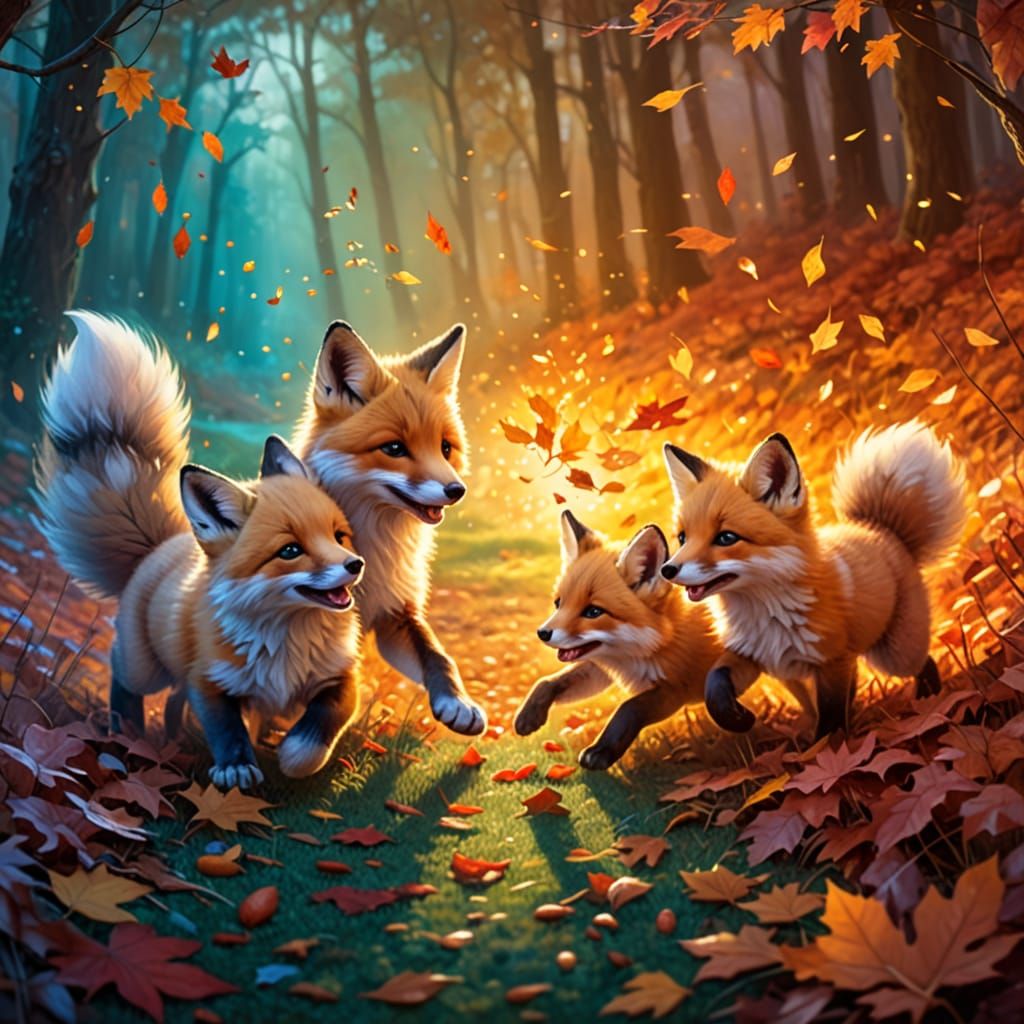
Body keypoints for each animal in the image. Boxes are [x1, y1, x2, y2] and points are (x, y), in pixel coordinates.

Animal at [35, 312, 365, 789]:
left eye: (339, 536)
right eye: (290, 550)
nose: (355, 565)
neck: (284, 645)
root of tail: (162, 545)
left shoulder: (342, 674)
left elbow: (326, 719)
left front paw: (293, 755)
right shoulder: (207, 679)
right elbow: (225, 728)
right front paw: (237, 767)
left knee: (173, 702)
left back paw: (172, 737)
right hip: (145, 667)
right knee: (122, 672)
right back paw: (128, 730)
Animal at [292, 319, 486, 736]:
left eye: (445, 448)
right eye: (394, 448)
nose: (456, 490)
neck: (378, 553)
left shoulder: (397, 612)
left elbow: (438, 655)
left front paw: (457, 702)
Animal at [513, 510, 722, 769]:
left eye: (593, 611)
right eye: (558, 603)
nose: (542, 633)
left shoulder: (678, 686)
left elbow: (629, 707)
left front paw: (601, 750)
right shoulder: (602, 666)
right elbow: (548, 681)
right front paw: (528, 715)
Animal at [660, 422, 967, 739]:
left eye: (726, 538)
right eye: (682, 538)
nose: (667, 570)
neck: (765, 615)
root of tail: (881, 528)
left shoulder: (832, 662)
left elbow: (830, 721)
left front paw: (826, 747)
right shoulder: (752, 655)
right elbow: (715, 683)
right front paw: (737, 718)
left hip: (894, 654)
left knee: (924, 662)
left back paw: (928, 700)